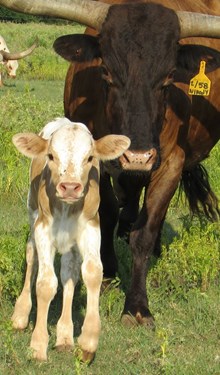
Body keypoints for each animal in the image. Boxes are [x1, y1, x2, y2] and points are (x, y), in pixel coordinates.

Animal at [1, 0, 218, 328]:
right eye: (105, 70)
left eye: (170, 75)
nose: (138, 156)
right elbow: (106, 213)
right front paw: (108, 273)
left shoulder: (171, 163)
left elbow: (145, 231)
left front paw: (137, 306)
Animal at [11, 118, 130, 364]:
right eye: (51, 156)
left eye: (90, 158)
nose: (70, 187)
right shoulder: (43, 229)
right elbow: (45, 283)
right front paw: (38, 345)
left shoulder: (91, 228)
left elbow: (92, 272)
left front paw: (87, 341)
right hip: (32, 213)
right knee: (31, 257)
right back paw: (21, 314)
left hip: (71, 243)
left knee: (69, 272)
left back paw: (65, 336)